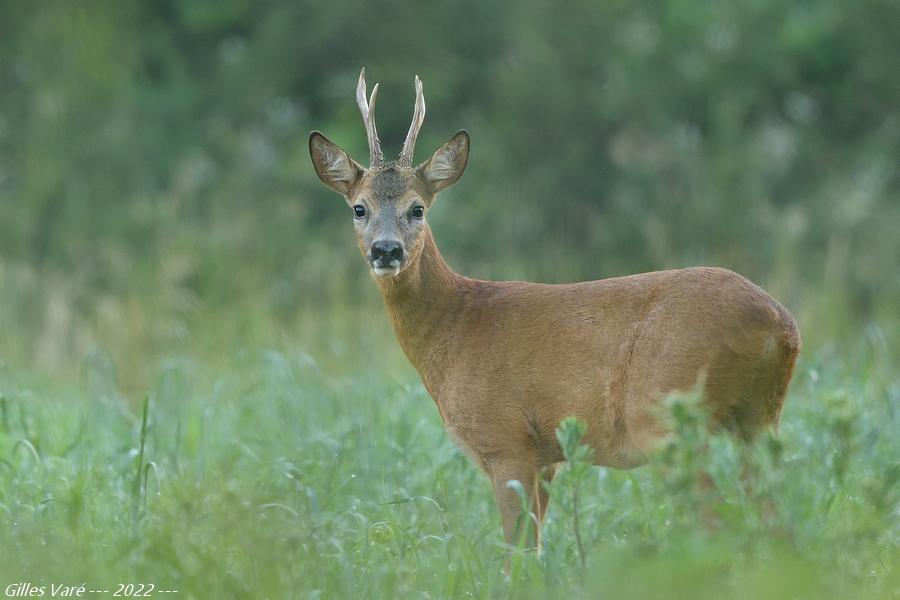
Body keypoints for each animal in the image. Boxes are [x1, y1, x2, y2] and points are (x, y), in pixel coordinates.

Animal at [308, 68, 800, 552]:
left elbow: (516, 552)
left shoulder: (508, 441)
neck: (455, 325)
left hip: (670, 418)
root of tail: (779, 323)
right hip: (760, 419)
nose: (386, 250)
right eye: (359, 208)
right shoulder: (547, 457)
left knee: (717, 521)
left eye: (418, 209)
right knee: (774, 518)